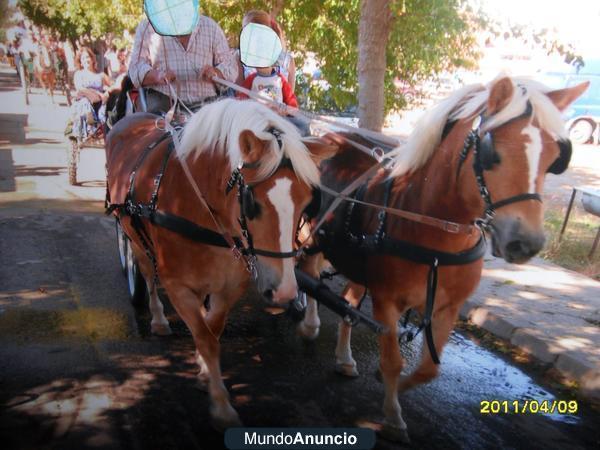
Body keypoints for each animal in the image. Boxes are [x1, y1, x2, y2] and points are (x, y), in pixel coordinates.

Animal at [106, 98, 336, 428]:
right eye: (253, 202)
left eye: (307, 202)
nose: (284, 291)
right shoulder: (177, 286)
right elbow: (205, 336)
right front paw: (221, 404)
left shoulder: (231, 285)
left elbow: (212, 328)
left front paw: (204, 369)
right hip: (133, 236)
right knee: (147, 274)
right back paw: (159, 318)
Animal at [298, 76, 588, 440]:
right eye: (492, 153)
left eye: (554, 158)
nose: (527, 243)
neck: (435, 232)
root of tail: (325, 138)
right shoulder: (387, 301)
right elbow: (393, 361)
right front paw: (392, 416)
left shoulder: (447, 306)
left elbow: (428, 370)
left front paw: (392, 388)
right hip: (310, 239)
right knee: (308, 276)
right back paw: (309, 322)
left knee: (348, 302)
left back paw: (345, 358)